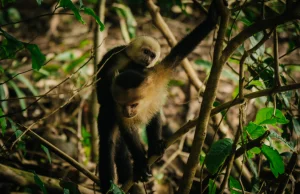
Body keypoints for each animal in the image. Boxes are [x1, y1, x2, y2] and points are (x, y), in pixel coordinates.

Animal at [97, 2, 219, 192]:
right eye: (124, 105)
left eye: (133, 104)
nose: (127, 112)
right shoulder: (117, 95)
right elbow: (128, 131)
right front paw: (141, 164)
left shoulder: (158, 73)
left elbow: (178, 53)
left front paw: (212, 18)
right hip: (107, 113)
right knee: (108, 144)